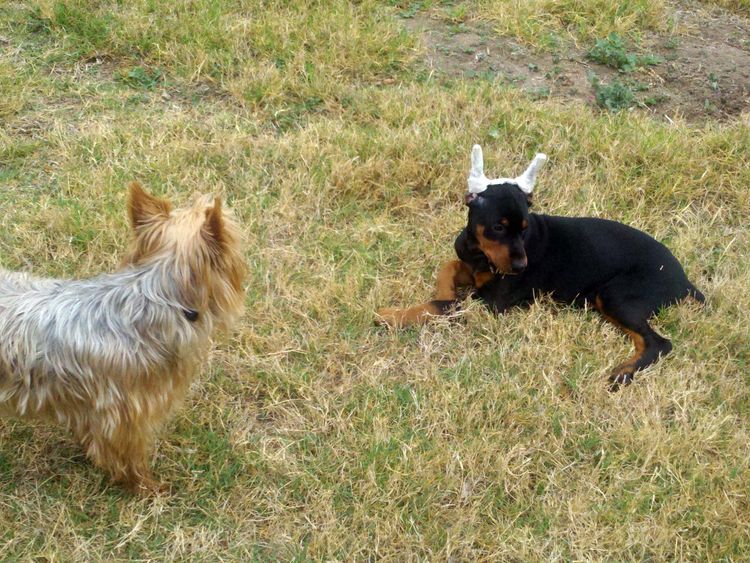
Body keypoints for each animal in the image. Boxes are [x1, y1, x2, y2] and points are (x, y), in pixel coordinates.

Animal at [382, 145, 704, 388]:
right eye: (499, 227)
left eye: (524, 229)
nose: (521, 265)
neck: (480, 253)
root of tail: (684, 281)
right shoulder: (473, 268)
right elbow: (447, 269)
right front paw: (444, 288)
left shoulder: (492, 302)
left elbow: (443, 305)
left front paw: (389, 315)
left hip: (616, 294)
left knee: (659, 344)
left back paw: (623, 373)